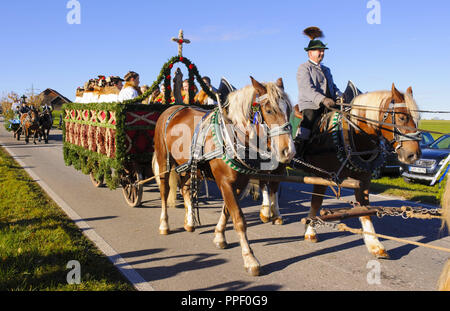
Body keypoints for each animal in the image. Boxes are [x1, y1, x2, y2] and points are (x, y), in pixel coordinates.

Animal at [153, 77, 296, 276]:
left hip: (189, 166)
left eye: (289, 110)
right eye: (269, 110)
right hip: (164, 161)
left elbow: (227, 211)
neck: (233, 137)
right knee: (164, 191)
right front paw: (250, 258)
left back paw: (189, 222)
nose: (288, 151)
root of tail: (172, 109)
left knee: (186, 189)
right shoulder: (226, 182)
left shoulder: (238, 183)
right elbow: (239, 219)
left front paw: (219, 236)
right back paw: (164, 225)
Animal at [274, 84, 422, 260]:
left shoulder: (363, 180)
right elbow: (316, 203)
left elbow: (365, 209)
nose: (414, 155)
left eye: (417, 118)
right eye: (402, 118)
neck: (349, 133)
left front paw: (375, 245)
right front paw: (310, 231)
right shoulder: (322, 177)